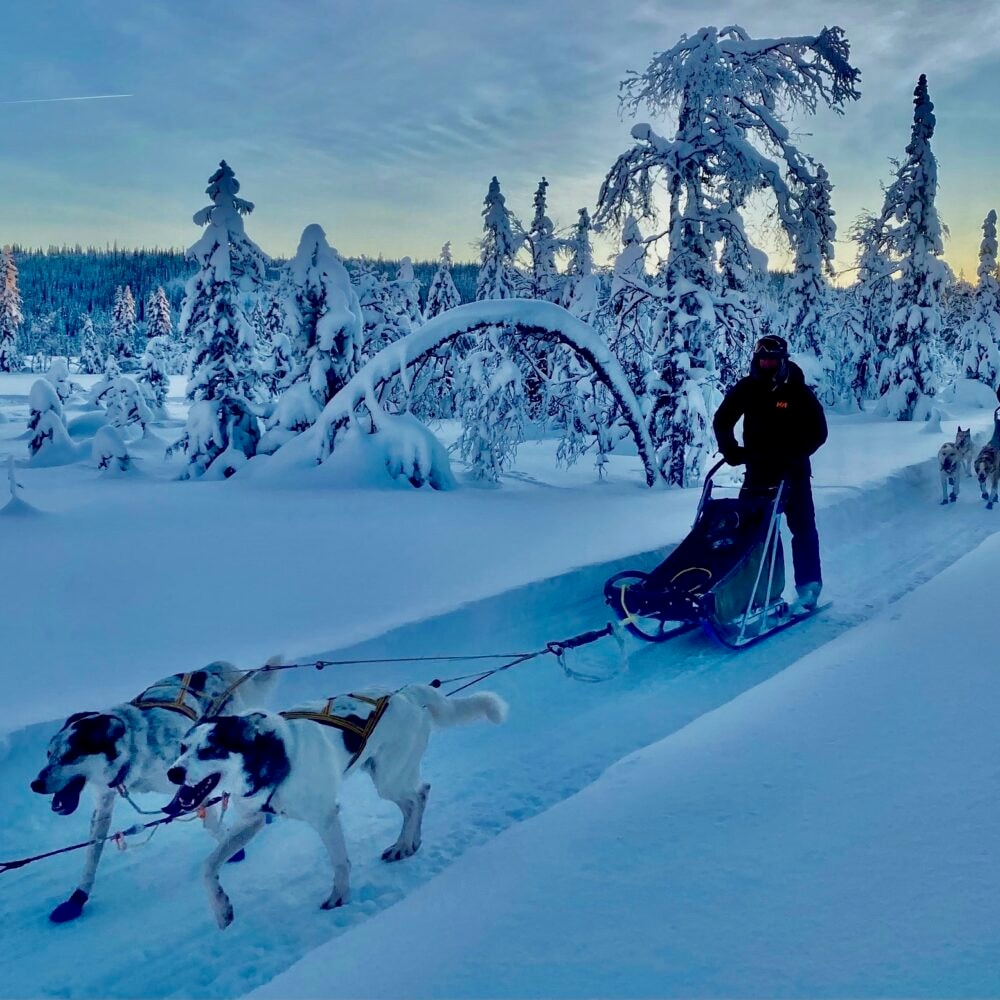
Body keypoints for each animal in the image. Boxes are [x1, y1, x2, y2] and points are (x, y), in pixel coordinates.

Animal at [30, 656, 282, 920]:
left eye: (70, 755)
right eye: (49, 754)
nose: (35, 784)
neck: (134, 753)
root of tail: (213, 669)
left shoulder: (191, 783)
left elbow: (211, 821)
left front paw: (232, 846)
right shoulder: (104, 804)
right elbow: (92, 853)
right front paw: (77, 898)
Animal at [168, 688, 508, 928]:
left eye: (209, 749)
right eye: (182, 748)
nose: (173, 773)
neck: (272, 754)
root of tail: (405, 694)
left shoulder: (325, 817)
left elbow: (340, 861)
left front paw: (340, 896)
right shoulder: (252, 821)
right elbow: (208, 866)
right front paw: (221, 908)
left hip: (389, 778)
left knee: (419, 796)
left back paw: (405, 844)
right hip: (384, 776)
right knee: (416, 800)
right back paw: (407, 844)